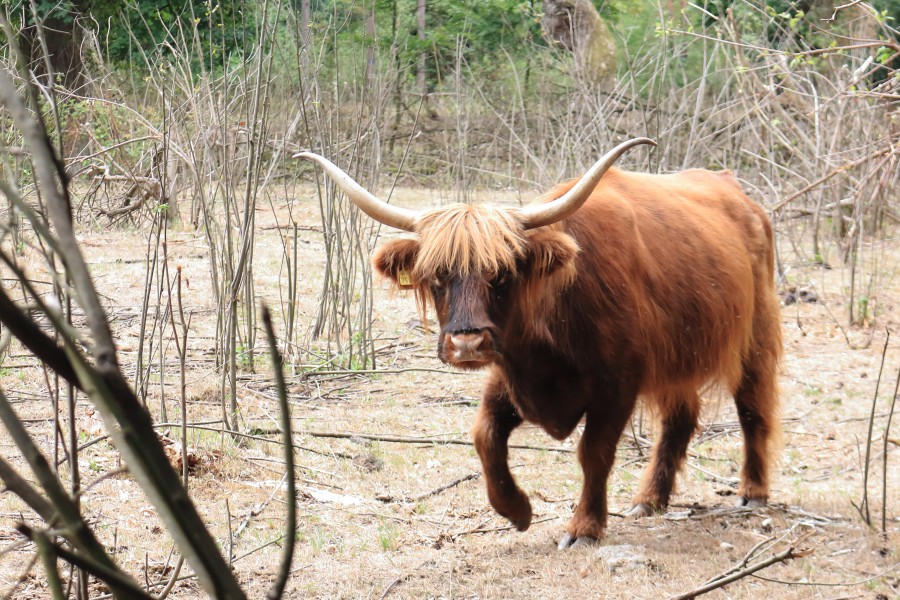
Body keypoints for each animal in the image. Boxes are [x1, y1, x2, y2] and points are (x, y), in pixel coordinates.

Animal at [295, 139, 782, 549]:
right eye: (437, 276)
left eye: (503, 274)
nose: (467, 343)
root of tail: (735, 190)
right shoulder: (510, 375)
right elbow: (484, 435)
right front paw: (517, 510)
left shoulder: (617, 385)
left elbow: (594, 452)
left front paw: (584, 528)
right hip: (676, 357)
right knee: (681, 418)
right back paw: (649, 499)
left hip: (754, 337)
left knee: (752, 408)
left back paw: (752, 491)